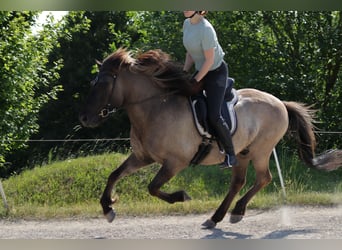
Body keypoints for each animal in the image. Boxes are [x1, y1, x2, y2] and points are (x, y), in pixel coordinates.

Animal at [78, 47, 342, 229]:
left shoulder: (175, 162)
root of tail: (281, 103)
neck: (154, 108)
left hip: (261, 150)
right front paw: (107, 208)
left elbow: (152, 187)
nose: (84, 118)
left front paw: (181, 196)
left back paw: (236, 212)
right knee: (238, 182)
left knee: (263, 178)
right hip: (243, 153)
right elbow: (114, 174)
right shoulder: (142, 157)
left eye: (102, 83)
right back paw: (218, 217)